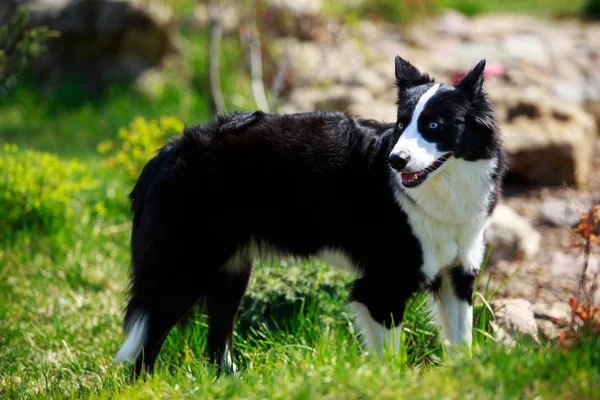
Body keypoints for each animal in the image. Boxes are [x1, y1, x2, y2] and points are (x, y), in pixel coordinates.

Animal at [112, 56, 506, 376]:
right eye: (400, 124)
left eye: (434, 126)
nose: (396, 161)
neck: (445, 187)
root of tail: (165, 153)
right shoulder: (382, 285)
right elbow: (392, 356)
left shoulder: (458, 275)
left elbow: (461, 342)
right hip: (184, 268)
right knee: (146, 343)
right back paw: (144, 385)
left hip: (232, 271)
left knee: (217, 337)